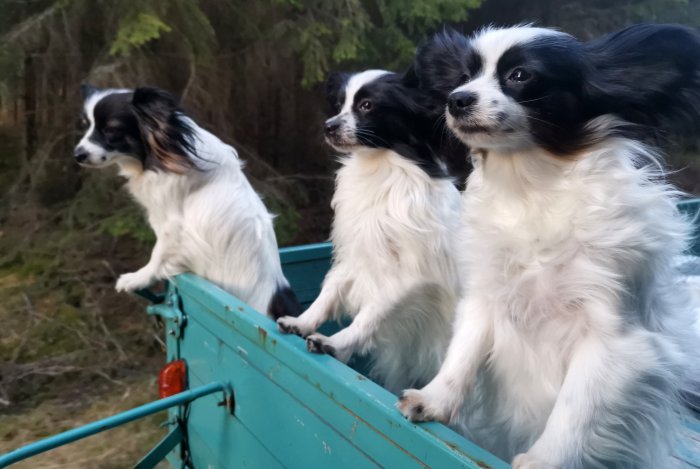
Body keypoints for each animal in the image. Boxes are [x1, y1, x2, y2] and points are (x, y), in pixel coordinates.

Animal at [75, 84, 302, 318]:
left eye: (111, 130)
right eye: (86, 126)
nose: (77, 154)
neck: (172, 154)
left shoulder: (175, 228)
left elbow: (158, 254)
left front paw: (137, 278)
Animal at [274, 69, 464, 392]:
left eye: (367, 106)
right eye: (339, 104)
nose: (328, 126)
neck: (380, 169)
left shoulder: (408, 277)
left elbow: (371, 315)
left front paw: (334, 343)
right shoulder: (355, 256)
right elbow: (328, 294)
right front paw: (302, 322)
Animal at [396, 25, 700, 468]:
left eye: (520, 75)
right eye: (464, 77)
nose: (457, 99)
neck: (530, 190)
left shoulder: (613, 339)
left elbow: (576, 406)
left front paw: (544, 459)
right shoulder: (484, 299)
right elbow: (462, 352)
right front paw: (435, 398)